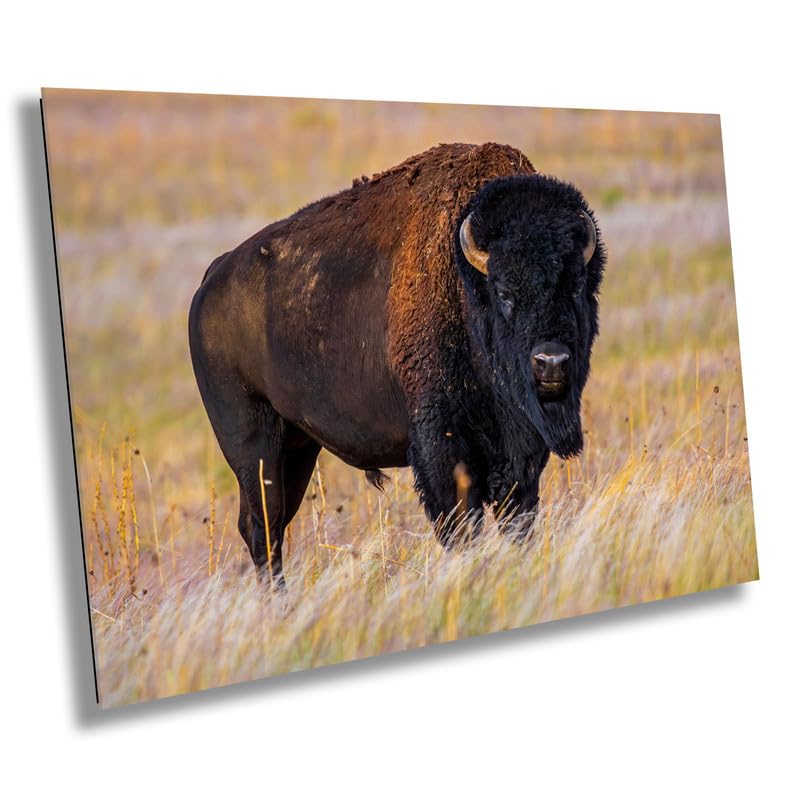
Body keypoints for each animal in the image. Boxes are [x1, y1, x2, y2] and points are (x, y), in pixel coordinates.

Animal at [189, 142, 605, 583]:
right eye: (505, 292)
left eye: (576, 286)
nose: (551, 362)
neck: (465, 285)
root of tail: (211, 280)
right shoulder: (442, 446)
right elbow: (461, 527)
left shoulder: (520, 455)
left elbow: (517, 520)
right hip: (252, 445)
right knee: (262, 527)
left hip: (297, 447)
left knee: (274, 524)